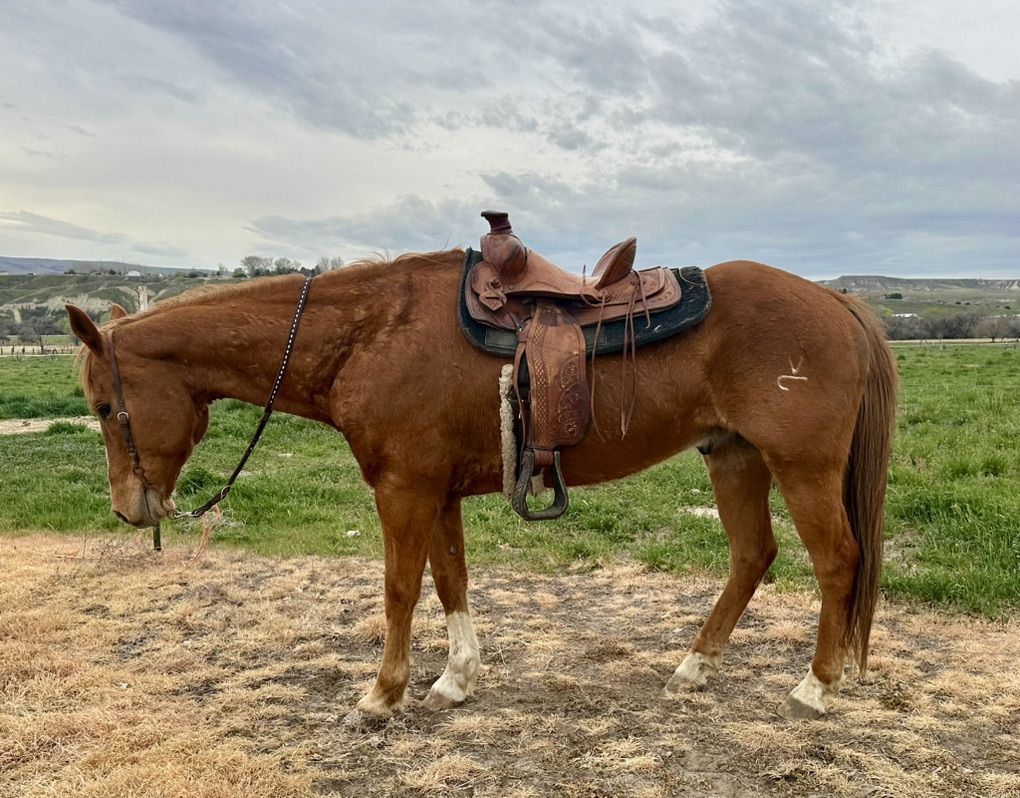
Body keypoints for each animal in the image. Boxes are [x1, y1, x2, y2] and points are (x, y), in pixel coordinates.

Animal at [66, 248, 896, 721]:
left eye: (105, 406)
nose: (129, 509)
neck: (369, 334)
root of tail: (836, 301)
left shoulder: (402, 488)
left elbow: (400, 589)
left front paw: (381, 695)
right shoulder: (435, 489)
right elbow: (449, 582)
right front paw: (455, 680)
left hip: (802, 467)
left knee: (837, 562)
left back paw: (817, 685)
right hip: (734, 458)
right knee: (753, 556)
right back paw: (694, 667)